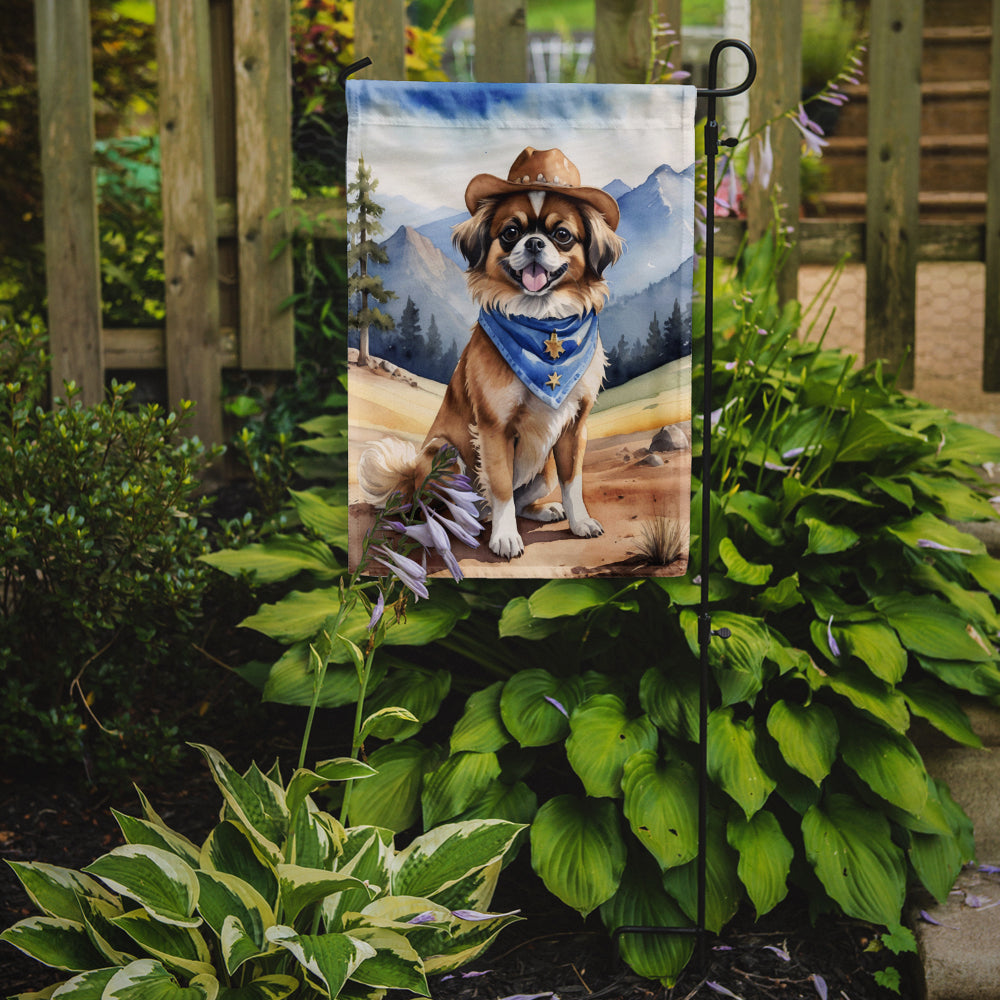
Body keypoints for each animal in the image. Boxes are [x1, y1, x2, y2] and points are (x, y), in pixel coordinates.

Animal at [360, 146, 624, 560]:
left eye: (562, 235)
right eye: (511, 232)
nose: (534, 243)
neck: (542, 323)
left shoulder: (573, 428)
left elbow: (573, 481)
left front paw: (578, 522)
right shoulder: (494, 428)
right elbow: (500, 486)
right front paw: (506, 538)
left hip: (542, 469)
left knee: (519, 499)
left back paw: (541, 511)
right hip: (444, 454)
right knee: (447, 506)